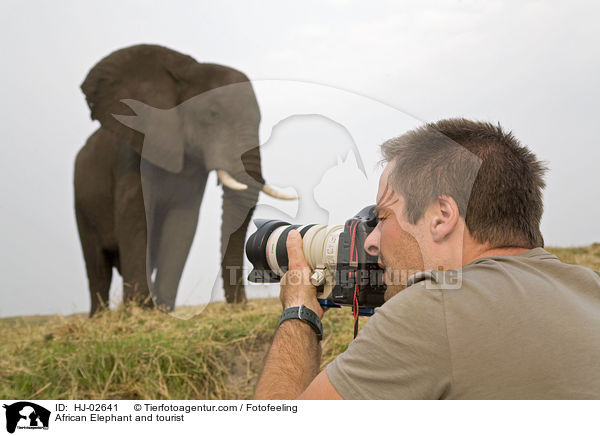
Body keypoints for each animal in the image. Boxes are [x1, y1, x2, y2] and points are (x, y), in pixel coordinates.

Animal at [74, 44, 290, 316]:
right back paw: (99, 316)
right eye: (213, 114)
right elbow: (135, 217)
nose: (240, 304)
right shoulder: (132, 155)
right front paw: (141, 309)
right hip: (81, 199)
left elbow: (182, 222)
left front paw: (162, 310)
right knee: (96, 264)